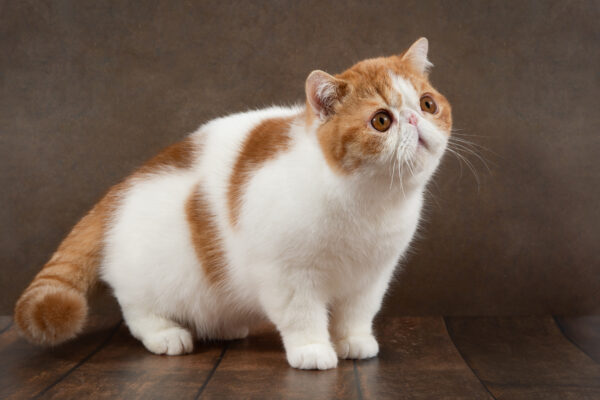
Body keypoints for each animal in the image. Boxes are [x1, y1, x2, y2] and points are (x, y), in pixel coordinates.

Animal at [14, 37, 450, 368]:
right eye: (381, 121)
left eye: (428, 104)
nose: (414, 120)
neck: (369, 200)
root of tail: (120, 187)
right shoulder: (288, 275)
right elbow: (303, 316)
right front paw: (313, 350)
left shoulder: (372, 276)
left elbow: (357, 314)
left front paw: (353, 342)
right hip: (149, 276)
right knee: (136, 309)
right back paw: (165, 334)